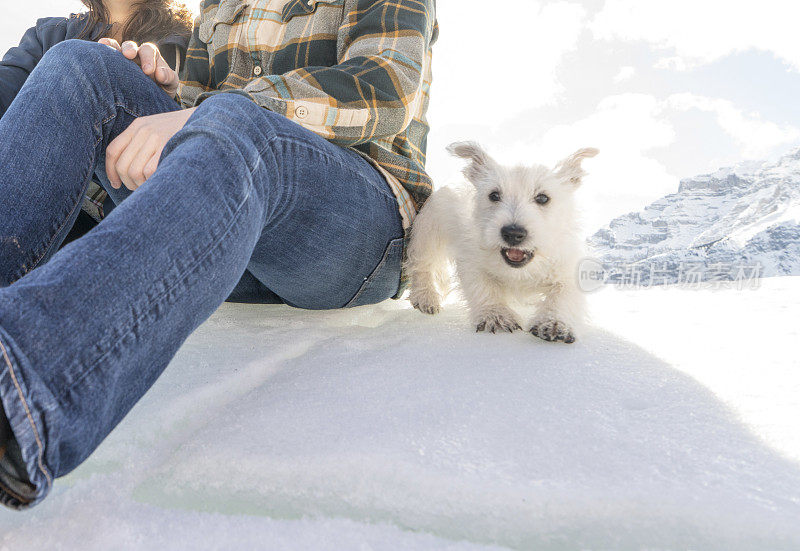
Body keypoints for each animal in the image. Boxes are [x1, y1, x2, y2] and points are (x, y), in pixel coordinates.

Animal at [404, 140, 596, 342]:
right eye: (494, 195)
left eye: (543, 198)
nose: (513, 233)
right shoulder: (471, 260)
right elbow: (483, 286)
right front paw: (495, 315)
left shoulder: (567, 266)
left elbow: (564, 294)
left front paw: (554, 322)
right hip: (429, 230)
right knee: (421, 265)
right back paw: (425, 297)